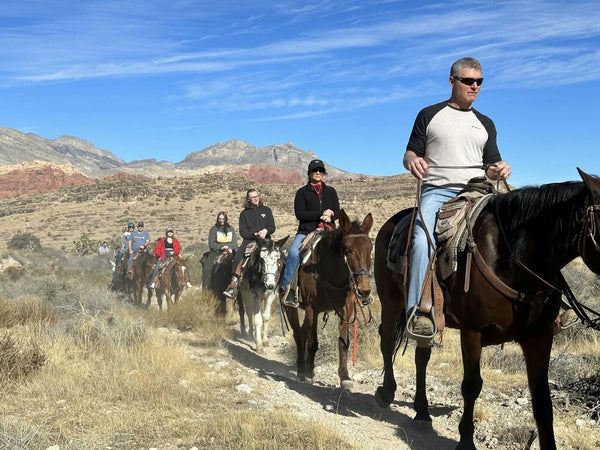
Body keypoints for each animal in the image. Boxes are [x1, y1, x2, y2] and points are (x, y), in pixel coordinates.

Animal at [284, 209, 372, 388]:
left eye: (370, 248)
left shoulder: (346, 310)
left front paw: (344, 376)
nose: (364, 289)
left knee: (302, 332)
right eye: (348, 250)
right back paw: (301, 369)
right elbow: (313, 342)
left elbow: (343, 343)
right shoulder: (312, 310)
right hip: (291, 308)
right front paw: (310, 373)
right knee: (298, 334)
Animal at [376, 170, 600, 450]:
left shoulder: (539, 336)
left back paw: (422, 411)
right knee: (386, 339)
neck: (513, 259)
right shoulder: (472, 332)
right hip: (391, 300)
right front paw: (465, 441)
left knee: (422, 356)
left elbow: (542, 400)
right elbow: (472, 385)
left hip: (429, 317)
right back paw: (386, 392)